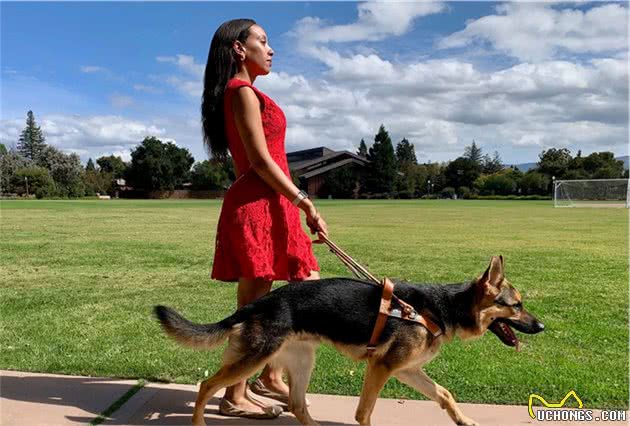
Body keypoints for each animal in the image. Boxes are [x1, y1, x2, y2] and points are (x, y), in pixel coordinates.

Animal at [156, 256, 544, 426]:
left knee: (297, 403)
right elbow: (364, 412)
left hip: (300, 361)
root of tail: (260, 302)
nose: (541, 326)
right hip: (255, 358)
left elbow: (445, 395)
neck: (441, 308)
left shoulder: (407, 371)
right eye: (517, 305)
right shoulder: (382, 367)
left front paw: (464, 421)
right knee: (207, 384)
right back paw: (199, 423)